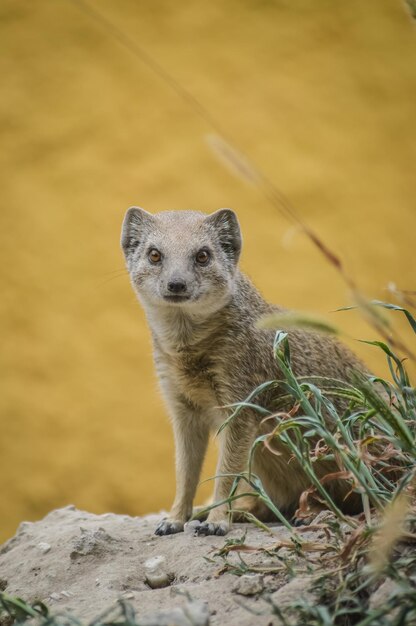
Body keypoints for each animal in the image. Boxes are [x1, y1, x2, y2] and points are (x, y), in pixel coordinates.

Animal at [120, 207, 364, 532]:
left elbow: (226, 471)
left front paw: (217, 523)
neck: (187, 356)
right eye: (155, 254)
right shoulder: (180, 404)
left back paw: (310, 513)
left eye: (203, 255)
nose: (176, 284)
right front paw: (175, 519)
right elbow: (184, 471)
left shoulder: (242, 396)